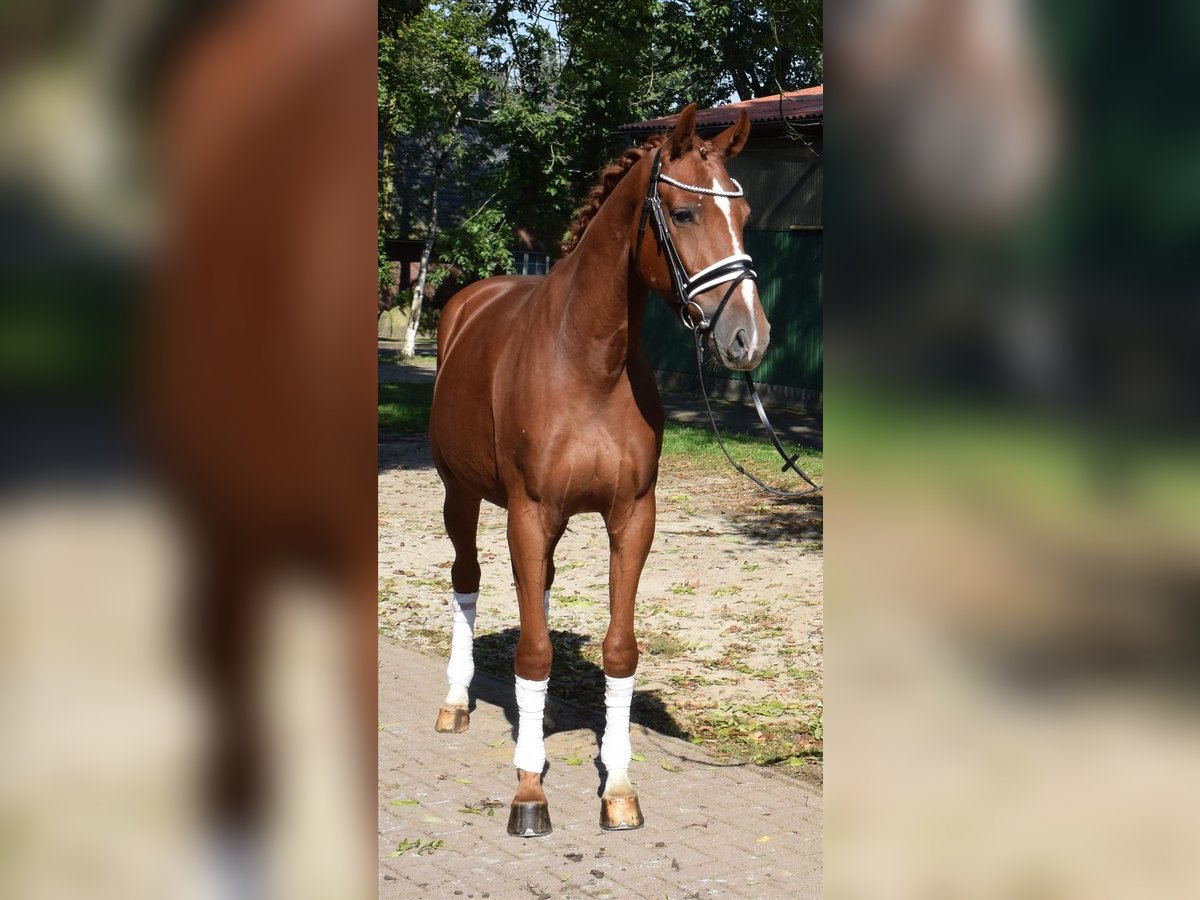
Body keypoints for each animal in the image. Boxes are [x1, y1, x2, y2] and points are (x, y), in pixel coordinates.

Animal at [429, 105, 768, 840]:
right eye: (684, 212)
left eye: (746, 212)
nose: (747, 337)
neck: (588, 361)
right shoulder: (527, 510)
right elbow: (532, 653)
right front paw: (529, 793)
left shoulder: (632, 516)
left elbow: (618, 651)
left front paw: (618, 789)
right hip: (461, 496)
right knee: (468, 580)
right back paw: (456, 702)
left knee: (537, 591)